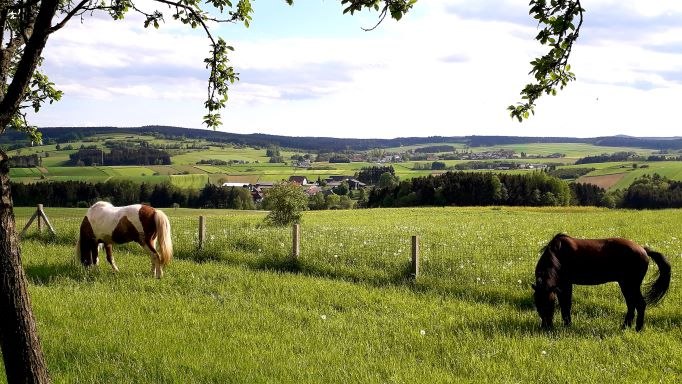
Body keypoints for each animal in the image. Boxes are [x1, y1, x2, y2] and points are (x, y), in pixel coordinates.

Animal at [532, 232, 668, 332]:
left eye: (551, 303)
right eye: (537, 303)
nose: (546, 327)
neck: (558, 255)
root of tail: (643, 249)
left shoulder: (566, 284)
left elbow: (566, 305)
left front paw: (568, 325)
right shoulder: (559, 287)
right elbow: (563, 305)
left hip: (631, 285)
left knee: (639, 304)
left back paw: (637, 328)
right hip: (626, 284)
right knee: (631, 305)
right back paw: (625, 327)